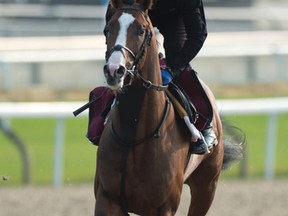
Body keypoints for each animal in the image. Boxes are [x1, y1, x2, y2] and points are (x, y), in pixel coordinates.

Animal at [95, 0, 233, 215]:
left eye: (141, 30)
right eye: (108, 28)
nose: (114, 71)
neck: (133, 134)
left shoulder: (163, 206)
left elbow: (197, 33)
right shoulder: (106, 199)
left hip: (207, 185)